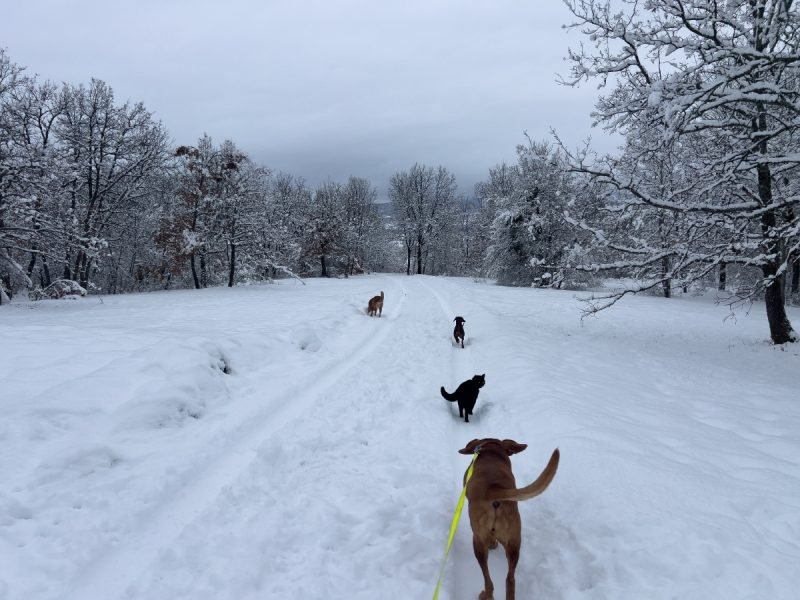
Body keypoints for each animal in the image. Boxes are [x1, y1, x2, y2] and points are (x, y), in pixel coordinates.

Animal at [456, 438, 564, 596]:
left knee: (489, 582)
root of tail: (494, 489)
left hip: (478, 541)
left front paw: (493, 544)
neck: (491, 450)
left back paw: (485, 595)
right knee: (510, 579)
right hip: (514, 542)